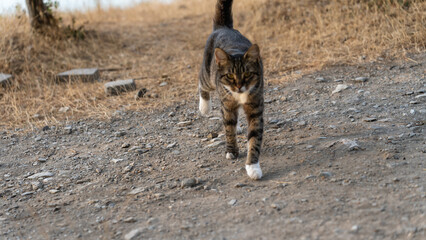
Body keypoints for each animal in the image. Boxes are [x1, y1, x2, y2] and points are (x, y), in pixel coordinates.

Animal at [199, 0, 262, 179]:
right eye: (230, 76)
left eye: (247, 74)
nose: (239, 86)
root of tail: (223, 27)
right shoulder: (227, 103)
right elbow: (228, 127)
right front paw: (232, 150)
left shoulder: (255, 107)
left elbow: (254, 136)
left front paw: (253, 167)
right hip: (208, 76)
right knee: (201, 84)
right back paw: (204, 107)